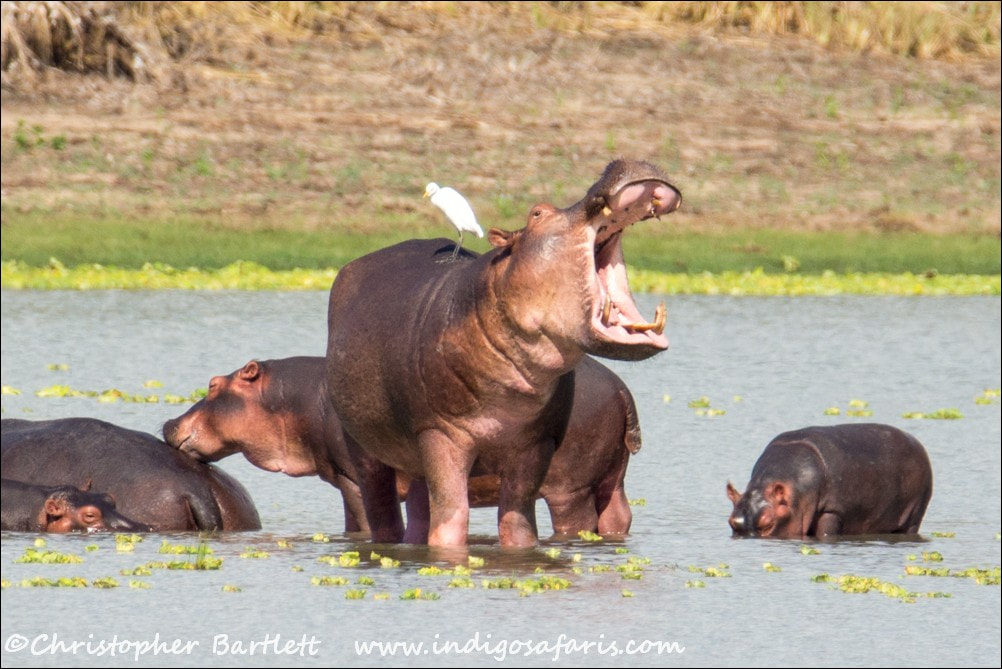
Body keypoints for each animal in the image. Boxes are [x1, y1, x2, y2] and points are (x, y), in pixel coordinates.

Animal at [163, 355, 643, 539]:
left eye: (213, 384)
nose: (168, 422)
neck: (295, 399)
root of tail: (621, 389)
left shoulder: (354, 479)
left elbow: (362, 523)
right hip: (611, 478)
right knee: (617, 516)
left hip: (568, 488)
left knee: (577, 523)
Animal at [326, 159, 680, 546]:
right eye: (537, 212)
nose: (618, 162)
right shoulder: (439, 434)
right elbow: (451, 523)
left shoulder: (536, 444)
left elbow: (518, 524)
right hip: (365, 446)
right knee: (388, 512)